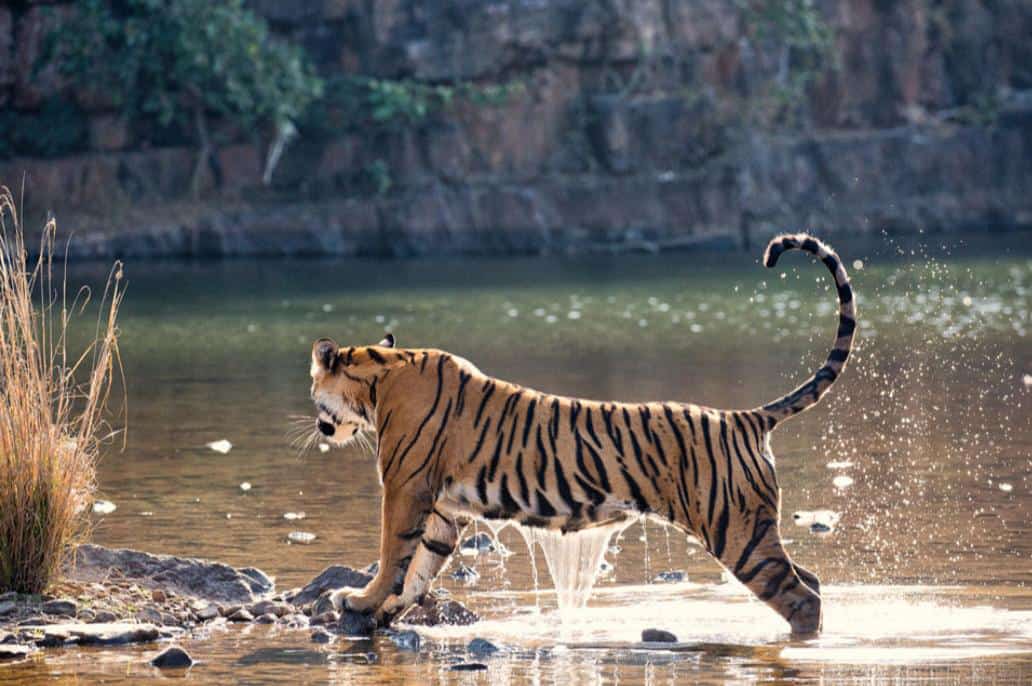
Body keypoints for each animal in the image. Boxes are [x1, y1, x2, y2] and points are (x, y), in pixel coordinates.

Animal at [308, 233, 856, 635]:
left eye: (313, 387)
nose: (317, 422)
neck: (379, 377)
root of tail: (746, 417)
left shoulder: (406, 487)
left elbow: (392, 554)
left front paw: (358, 599)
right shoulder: (444, 508)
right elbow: (418, 568)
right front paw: (380, 611)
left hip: (735, 529)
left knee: (802, 597)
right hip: (750, 529)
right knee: (810, 581)